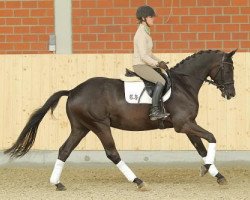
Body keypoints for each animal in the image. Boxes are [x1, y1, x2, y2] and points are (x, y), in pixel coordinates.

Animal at [4, 49, 236, 191]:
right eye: (228, 68)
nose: (231, 93)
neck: (183, 85)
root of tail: (73, 91)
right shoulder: (183, 125)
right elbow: (212, 138)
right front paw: (206, 169)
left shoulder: (187, 125)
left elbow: (202, 149)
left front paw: (216, 174)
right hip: (99, 125)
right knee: (112, 153)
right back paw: (138, 181)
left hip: (81, 127)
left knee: (64, 150)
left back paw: (57, 183)